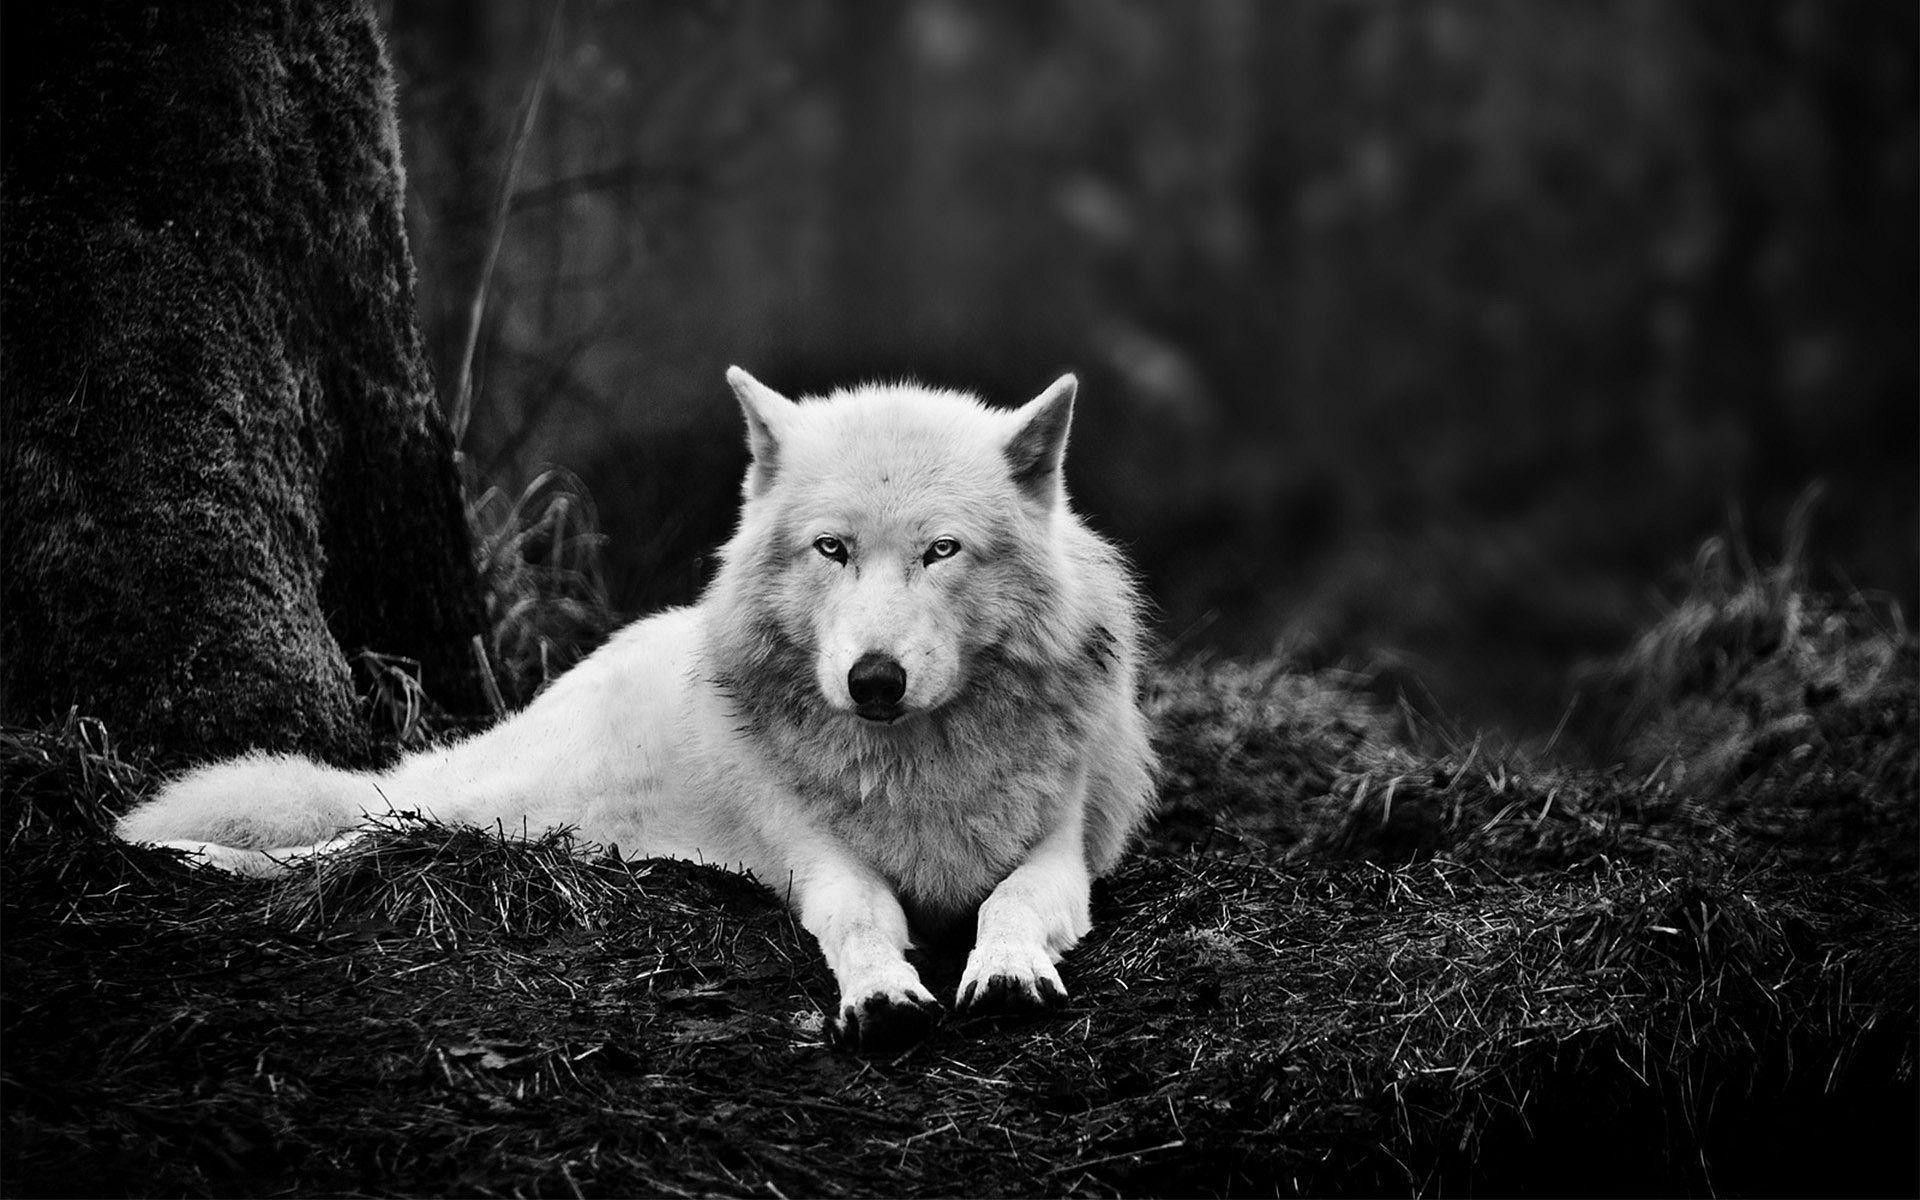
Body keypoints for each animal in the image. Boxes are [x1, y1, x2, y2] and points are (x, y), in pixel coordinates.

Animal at [127, 364, 1159, 1044]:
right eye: (831, 549)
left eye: (942, 551)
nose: (874, 680)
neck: (915, 764)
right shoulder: (819, 862)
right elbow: (864, 918)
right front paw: (880, 995)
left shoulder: (1061, 855)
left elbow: (1010, 903)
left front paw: (1008, 969)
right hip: (492, 808)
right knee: (355, 830)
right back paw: (187, 853)